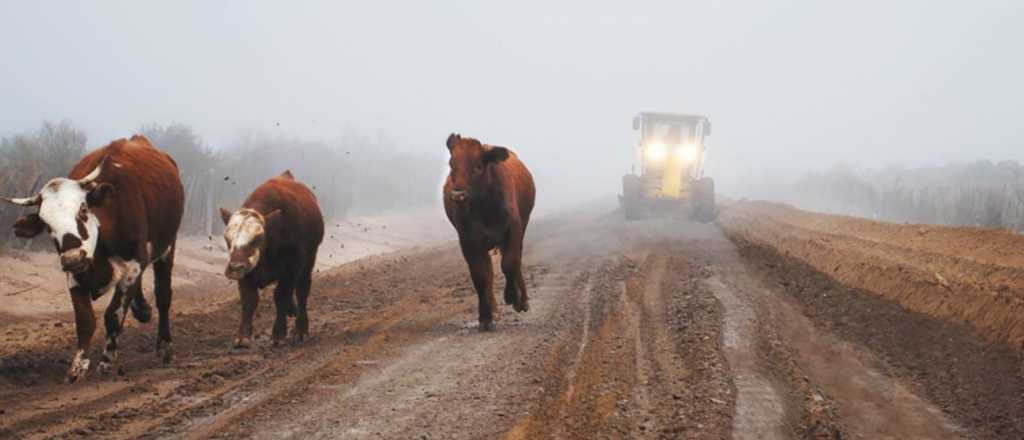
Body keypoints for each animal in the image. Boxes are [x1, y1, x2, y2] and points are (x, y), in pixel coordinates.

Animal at [3, 136, 184, 382]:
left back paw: (165, 346)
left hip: (167, 246)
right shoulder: (75, 275)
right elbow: (85, 319)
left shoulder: (132, 266)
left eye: (82, 210)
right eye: (47, 225)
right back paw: (142, 310)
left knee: (163, 296)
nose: (72, 257)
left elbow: (114, 315)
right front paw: (78, 366)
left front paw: (106, 361)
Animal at [442, 133, 536, 329]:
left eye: (478, 166)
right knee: (489, 272)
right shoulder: (468, 241)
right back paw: (492, 308)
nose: (457, 195)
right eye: (451, 164)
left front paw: (512, 297)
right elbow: (480, 277)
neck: (484, 207)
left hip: (522, 227)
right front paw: (485, 317)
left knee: (516, 261)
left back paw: (522, 300)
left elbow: (510, 264)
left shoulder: (514, 230)